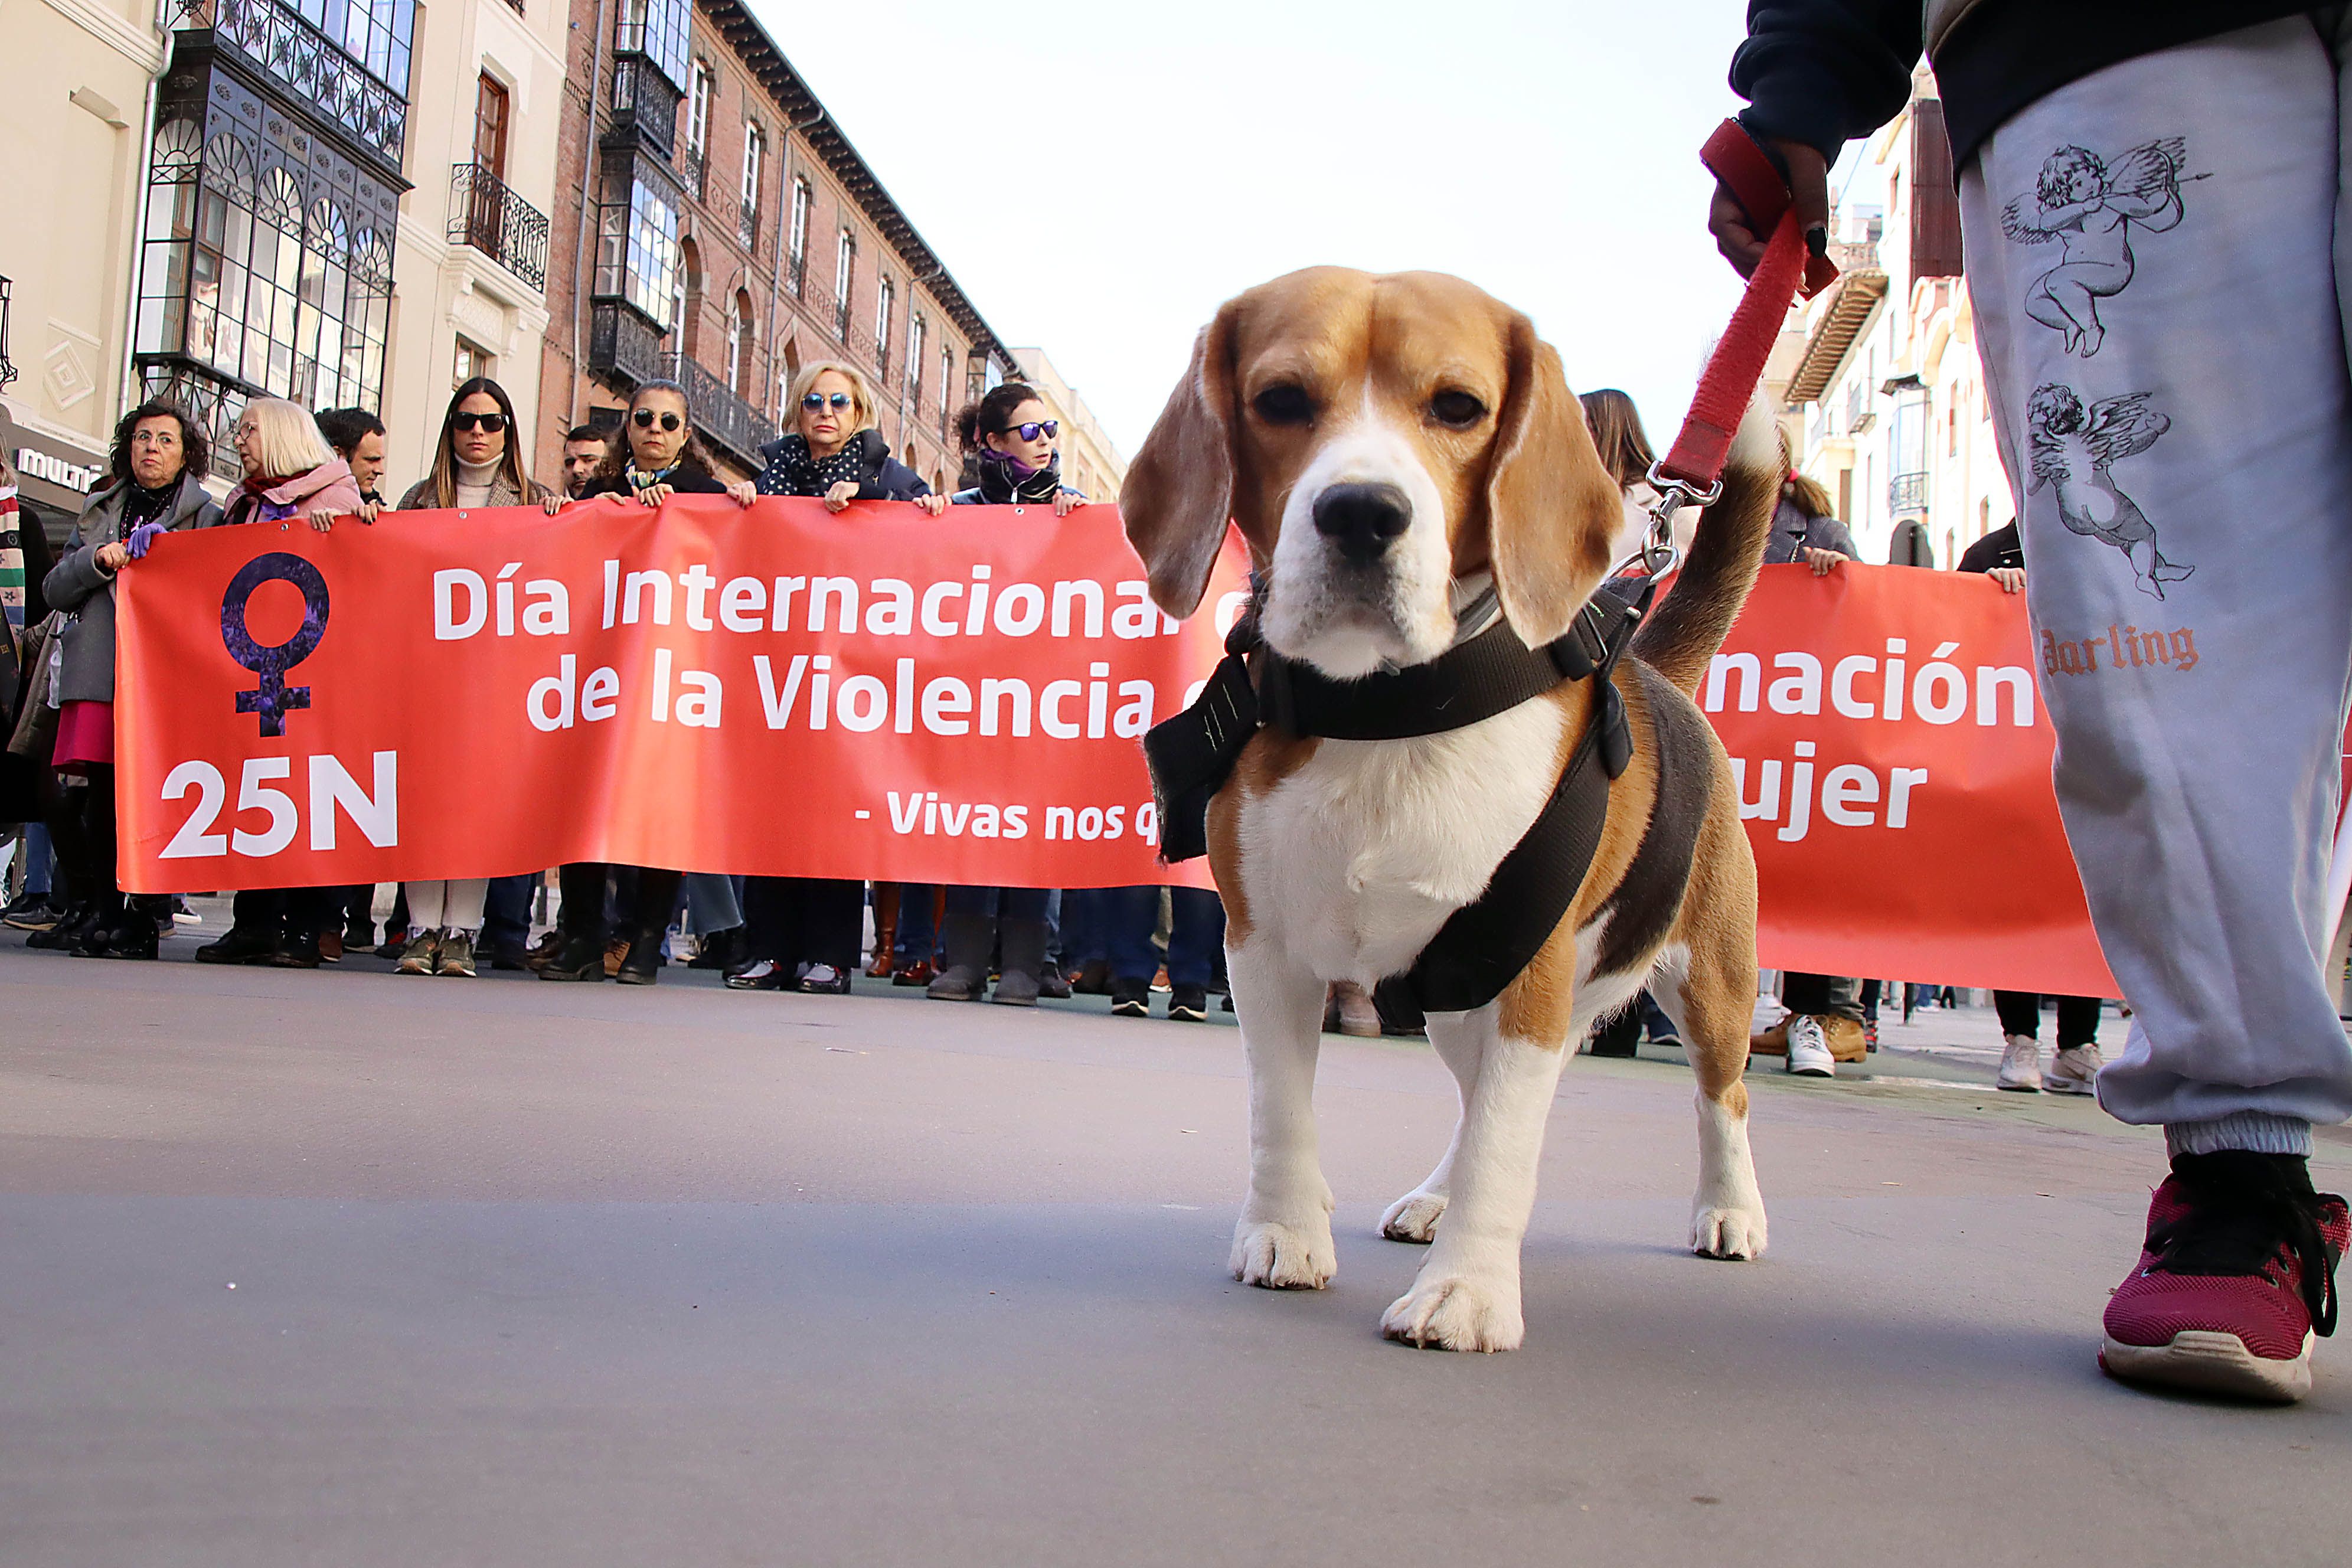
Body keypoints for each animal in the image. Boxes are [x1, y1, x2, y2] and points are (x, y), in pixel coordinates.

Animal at [1129, 266, 1768, 1354]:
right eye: (1280, 400)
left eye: (1459, 408)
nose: (1359, 513)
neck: (1387, 709)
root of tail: (1655, 671)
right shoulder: (1263, 950)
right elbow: (1281, 1110)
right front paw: (1283, 1231)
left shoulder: (1532, 980)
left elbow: (1503, 1152)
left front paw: (1466, 1291)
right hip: (1456, 998)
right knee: (1475, 1106)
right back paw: (1434, 1198)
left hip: (1704, 982)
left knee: (1718, 1098)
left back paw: (1730, 1209)